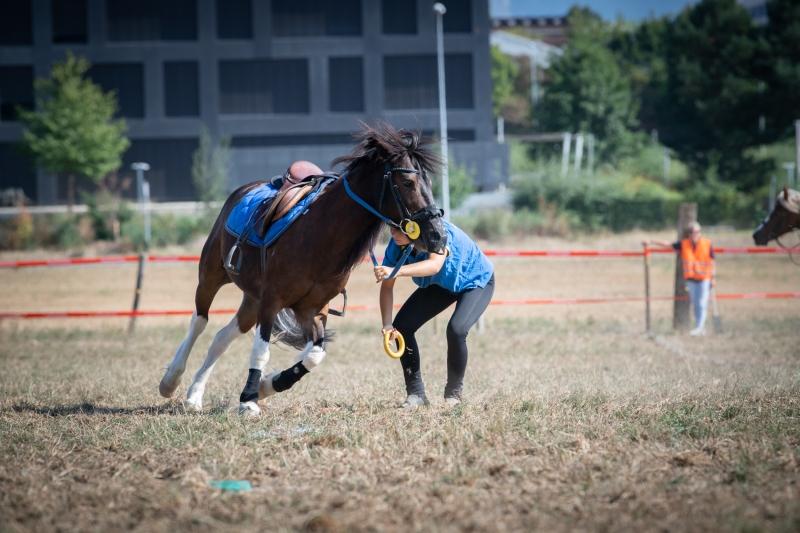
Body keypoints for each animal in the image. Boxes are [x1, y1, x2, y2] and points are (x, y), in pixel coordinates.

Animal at [156, 122, 444, 414]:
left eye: (429, 182)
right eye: (407, 182)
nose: (438, 236)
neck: (320, 235)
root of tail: (243, 190)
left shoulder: (311, 310)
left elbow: (315, 355)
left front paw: (266, 386)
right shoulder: (272, 301)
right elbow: (261, 351)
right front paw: (248, 399)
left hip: (251, 299)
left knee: (221, 338)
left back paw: (194, 395)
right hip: (211, 275)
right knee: (199, 321)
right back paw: (171, 381)